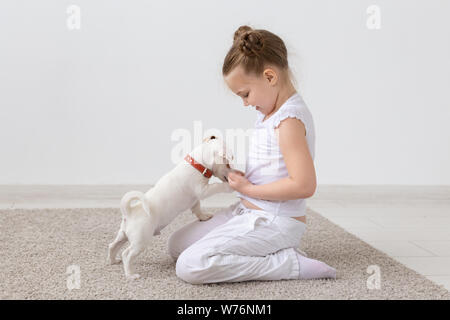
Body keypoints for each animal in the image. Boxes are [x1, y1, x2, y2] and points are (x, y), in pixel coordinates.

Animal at [107, 136, 237, 278]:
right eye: (228, 164)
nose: (238, 173)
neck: (198, 164)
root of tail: (130, 212)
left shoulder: (194, 199)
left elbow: (197, 208)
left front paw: (204, 217)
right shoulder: (203, 191)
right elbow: (216, 187)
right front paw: (229, 186)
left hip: (123, 235)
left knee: (112, 246)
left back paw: (112, 261)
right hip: (140, 241)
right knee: (127, 255)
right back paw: (131, 275)